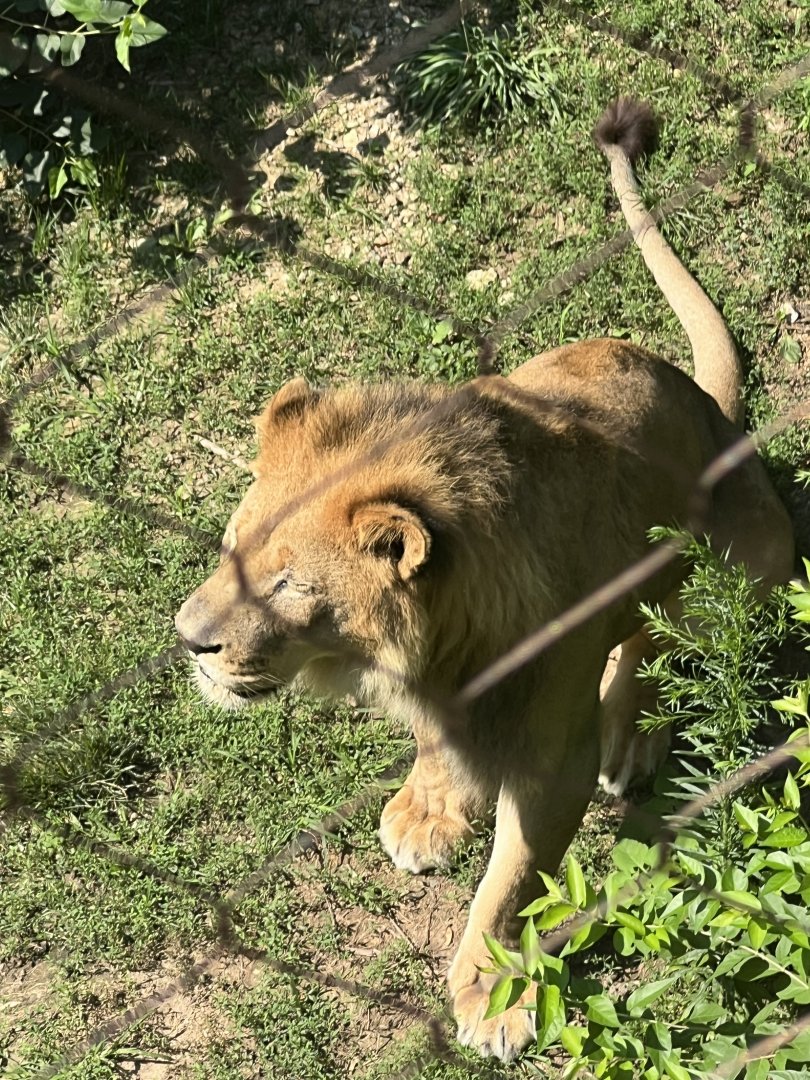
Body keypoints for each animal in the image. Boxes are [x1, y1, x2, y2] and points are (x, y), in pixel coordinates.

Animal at [175, 99, 794, 1061]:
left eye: (284, 587)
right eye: (229, 548)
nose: (187, 640)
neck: (428, 652)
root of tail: (714, 412)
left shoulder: (549, 765)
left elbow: (512, 885)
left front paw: (496, 994)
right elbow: (438, 752)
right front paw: (427, 811)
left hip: (752, 562)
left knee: (657, 637)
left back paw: (631, 738)